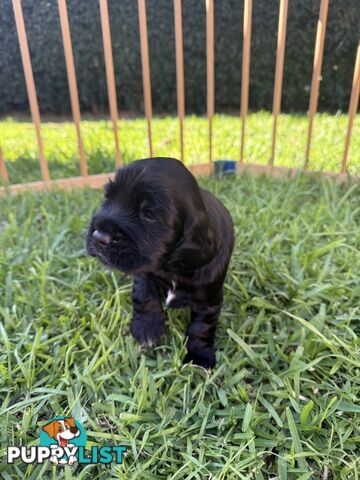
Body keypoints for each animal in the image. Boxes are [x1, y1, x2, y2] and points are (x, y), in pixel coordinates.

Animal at [86, 158, 235, 368]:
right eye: (107, 198)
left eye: (148, 213)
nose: (99, 236)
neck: (171, 267)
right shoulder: (143, 272)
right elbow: (144, 296)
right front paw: (146, 329)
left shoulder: (209, 299)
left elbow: (201, 327)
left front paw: (199, 357)